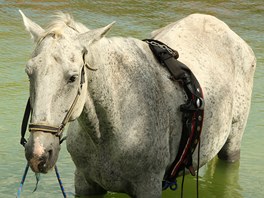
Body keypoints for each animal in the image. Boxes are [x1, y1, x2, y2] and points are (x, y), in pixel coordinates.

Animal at [20, 10, 256, 198]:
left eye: (72, 77)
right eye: (29, 72)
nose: (38, 154)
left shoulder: (148, 187)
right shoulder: (86, 184)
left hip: (232, 143)